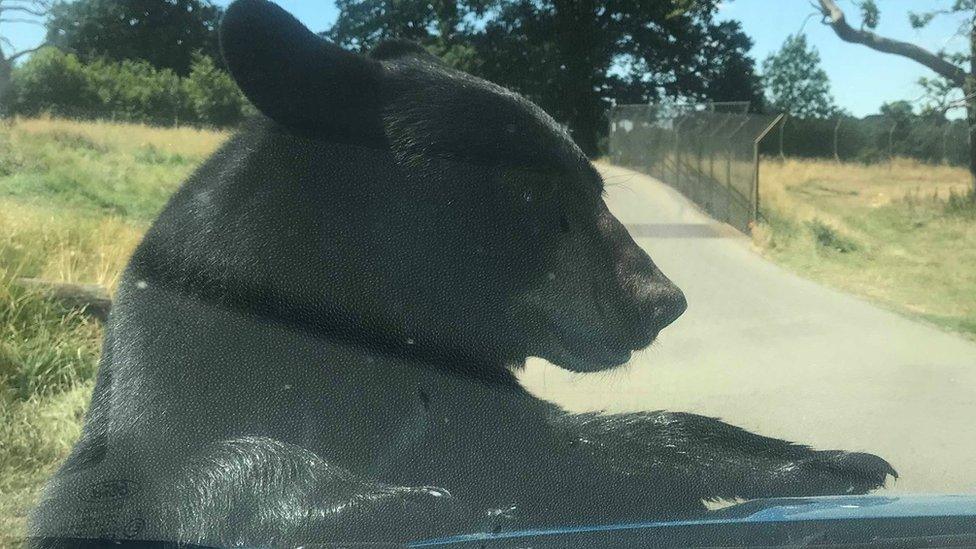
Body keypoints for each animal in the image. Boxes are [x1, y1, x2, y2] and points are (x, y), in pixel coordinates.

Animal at [26, 1, 896, 544]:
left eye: (595, 183)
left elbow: (587, 442)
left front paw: (831, 459)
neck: (369, 333)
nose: (662, 299)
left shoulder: (462, 400)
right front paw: (391, 500)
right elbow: (160, 476)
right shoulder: (186, 360)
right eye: (528, 190)